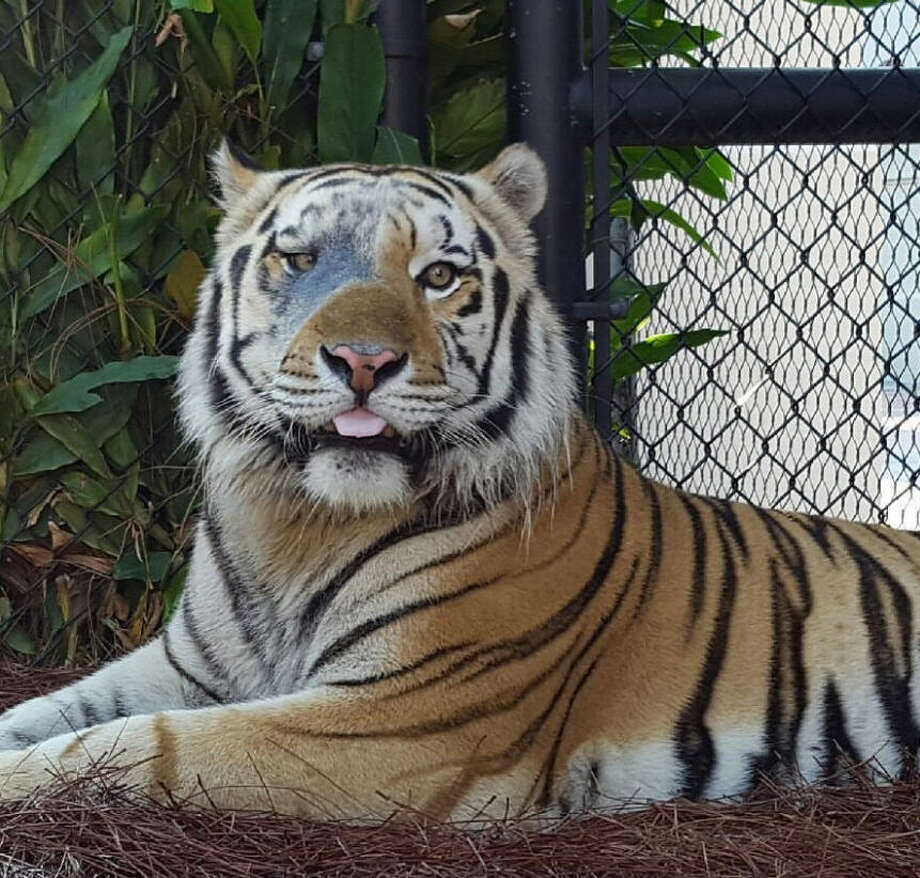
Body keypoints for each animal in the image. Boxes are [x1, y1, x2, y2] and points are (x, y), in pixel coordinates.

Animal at [1, 139, 920, 824]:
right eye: (297, 259)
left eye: (438, 276)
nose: (362, 361)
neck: (294, 521)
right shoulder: (187, 667)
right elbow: (53, 713)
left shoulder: (396, 723)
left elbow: (145, 743)